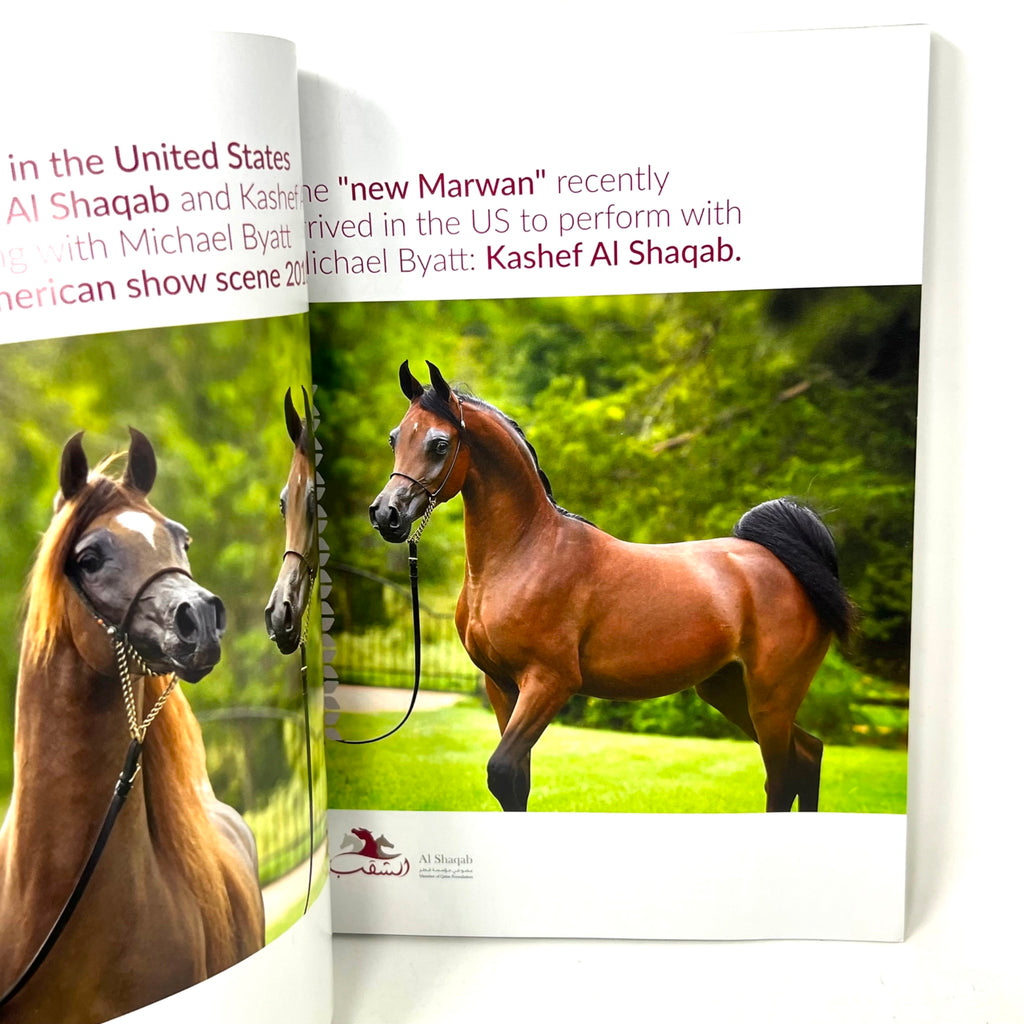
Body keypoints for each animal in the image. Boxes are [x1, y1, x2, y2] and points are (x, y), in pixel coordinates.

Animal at [369, 361, 854, 814]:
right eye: (396, 438)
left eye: (440, 443)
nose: (386, 514)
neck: (525, 552)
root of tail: (785, 566)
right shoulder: (501, 686)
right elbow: (515, 785)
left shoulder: (549, 682)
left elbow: (502, 772)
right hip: (729, 690)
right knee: (809, 753)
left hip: (771, 698)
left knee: (783, 778)